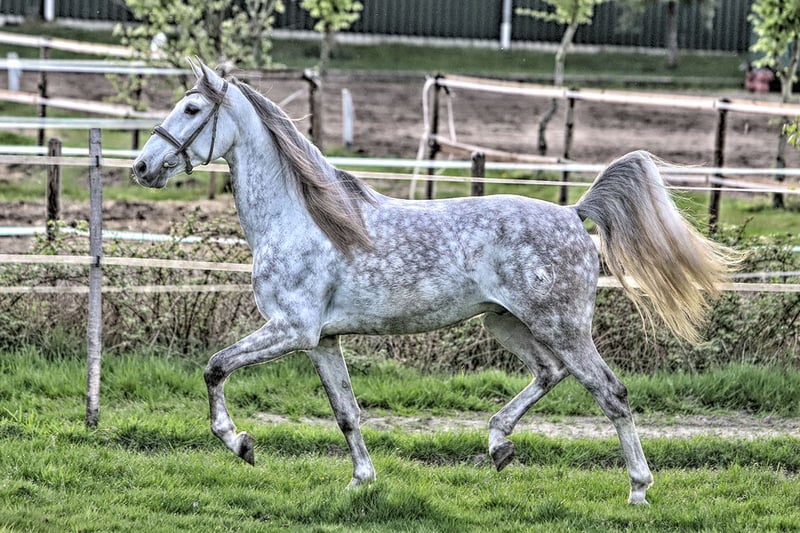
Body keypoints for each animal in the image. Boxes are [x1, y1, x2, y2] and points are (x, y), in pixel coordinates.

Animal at [132, 59, 737, 505]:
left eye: (190, 108)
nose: (142, 167)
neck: (299, 218)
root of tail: (574, 214)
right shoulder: (322, 341)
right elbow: (346, 413)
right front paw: (361, 482)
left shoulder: (291, 330)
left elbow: (214, 368)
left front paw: (241, 444)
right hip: (508, 323)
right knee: (551, 373)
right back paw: (498, 446)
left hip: (561, 325)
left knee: (610, 393)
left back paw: (637, 490)